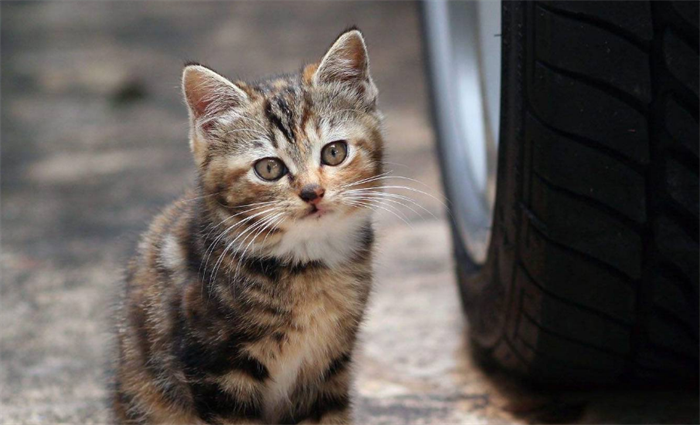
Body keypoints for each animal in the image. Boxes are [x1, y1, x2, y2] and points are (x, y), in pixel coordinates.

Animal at [112, 27, 382, 424]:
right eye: (269, 168)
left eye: (334, 152)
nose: (312, 192)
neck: (307, 265)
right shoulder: (216, 372)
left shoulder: (330, 369)